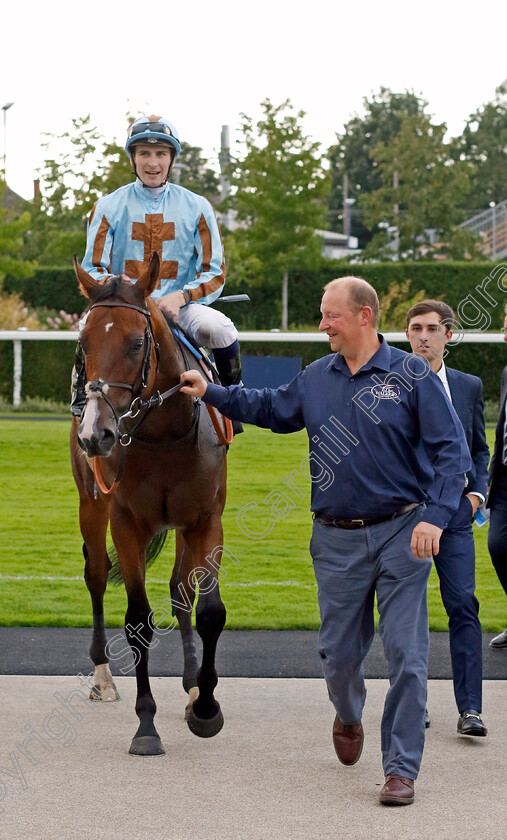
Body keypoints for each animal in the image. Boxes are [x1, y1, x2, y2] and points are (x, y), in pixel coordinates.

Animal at [70, 254, 229, 756]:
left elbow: (207, 610)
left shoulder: (204, 520)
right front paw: (146, 726)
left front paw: (205, 708)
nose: (95, 434)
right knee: (96, 574)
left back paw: (193, 684)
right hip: (90, 504)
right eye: (82, 344)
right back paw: (102, 677)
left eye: (137, 342)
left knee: (181, 591)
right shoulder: (127, 523)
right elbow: (138, 620)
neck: (163, 435)